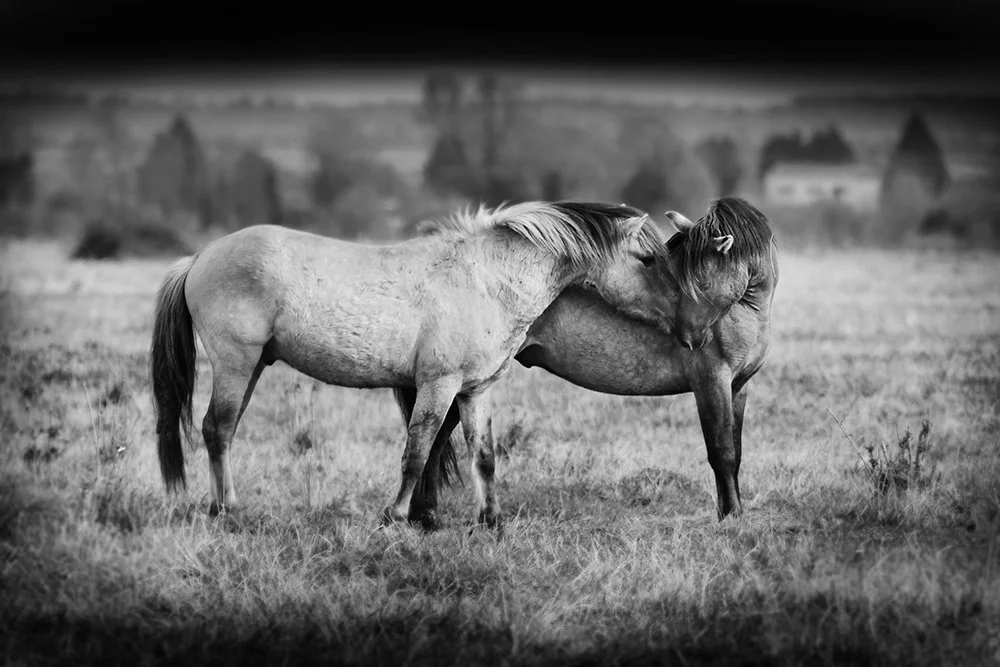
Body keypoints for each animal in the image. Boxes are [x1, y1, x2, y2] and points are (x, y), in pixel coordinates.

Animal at [148, 200, 679, 529]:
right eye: (648, 259)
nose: (681, 319)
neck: (485, 280)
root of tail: (199, 258)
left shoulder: (475, 391)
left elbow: (484, 456)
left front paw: (491, 520)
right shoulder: (438, 386)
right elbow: (417, 452)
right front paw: (396, 516)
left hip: (255, 365)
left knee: (224, 431)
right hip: (235, 363)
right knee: (217, 429)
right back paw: (226, 511)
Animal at [401, 197, 778, 524]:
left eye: (699, 280)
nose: (689, 338)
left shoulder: (738, 388)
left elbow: (736, 451)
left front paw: (732, 509)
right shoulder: (711, 384)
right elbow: (722, 452)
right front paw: (731, 515)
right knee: (434, 440)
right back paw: (425, 515)